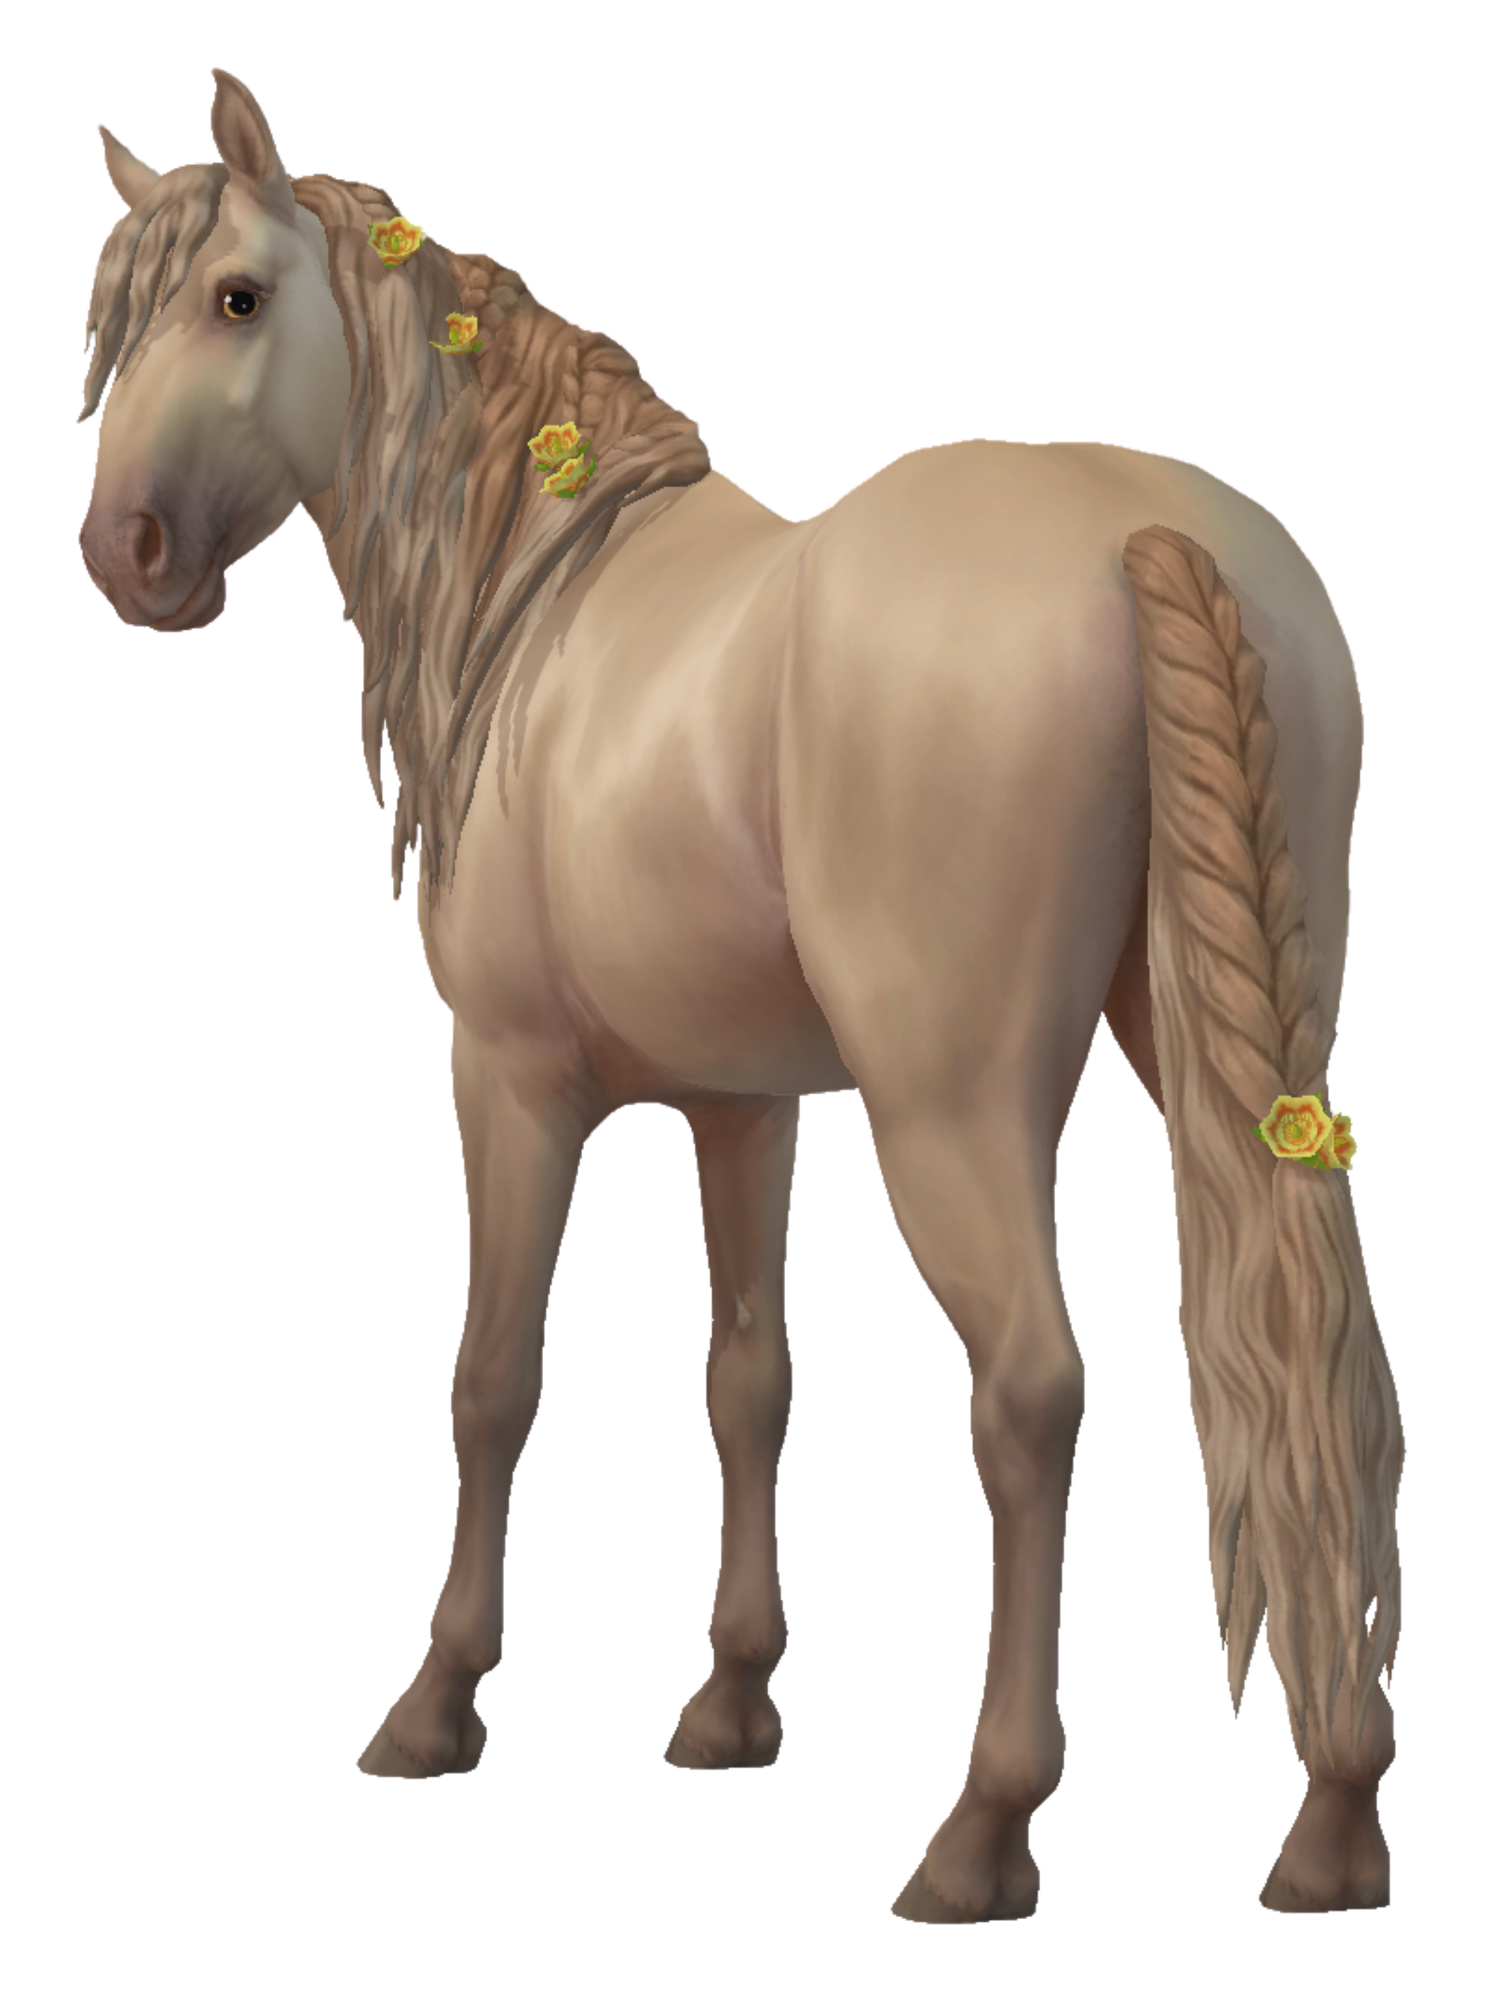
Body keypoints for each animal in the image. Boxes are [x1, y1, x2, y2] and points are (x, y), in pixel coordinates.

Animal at [77, 69, 1403, 1922]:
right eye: (104, 328)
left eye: (236, 300)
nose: (124, 554)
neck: (541, 598)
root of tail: (1149, 533)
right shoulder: (747, 1104)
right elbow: (750, 1381)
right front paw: (729, 1705)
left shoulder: (511, 1083)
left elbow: (492, 1382)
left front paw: (434, 1705)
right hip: (1264, 1059)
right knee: (1319, 1350)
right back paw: (1337, 1819)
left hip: (954, 1112)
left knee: (1031, 1392)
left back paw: (982, 1830)